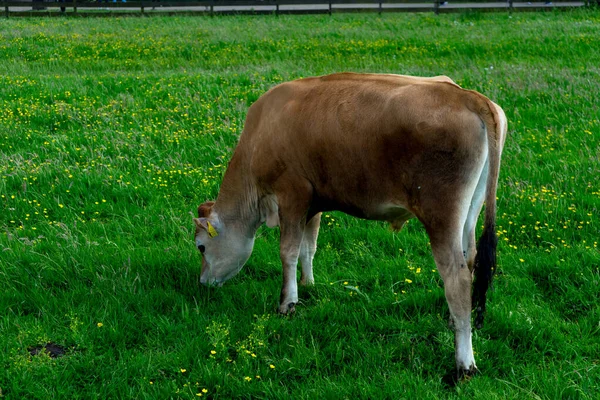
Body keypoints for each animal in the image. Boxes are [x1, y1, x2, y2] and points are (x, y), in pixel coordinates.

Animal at [192, 73, 506, 376]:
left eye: (201, 247)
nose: (203, 283)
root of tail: (465, 95)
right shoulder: (313, 202)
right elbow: (308, 247)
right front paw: (308, 284)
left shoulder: (292, 194)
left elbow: (288, 251)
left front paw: (288, 303)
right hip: (469, 213)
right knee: (471, 259)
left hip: (441, 217)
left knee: (457, 277)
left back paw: (464, 364)